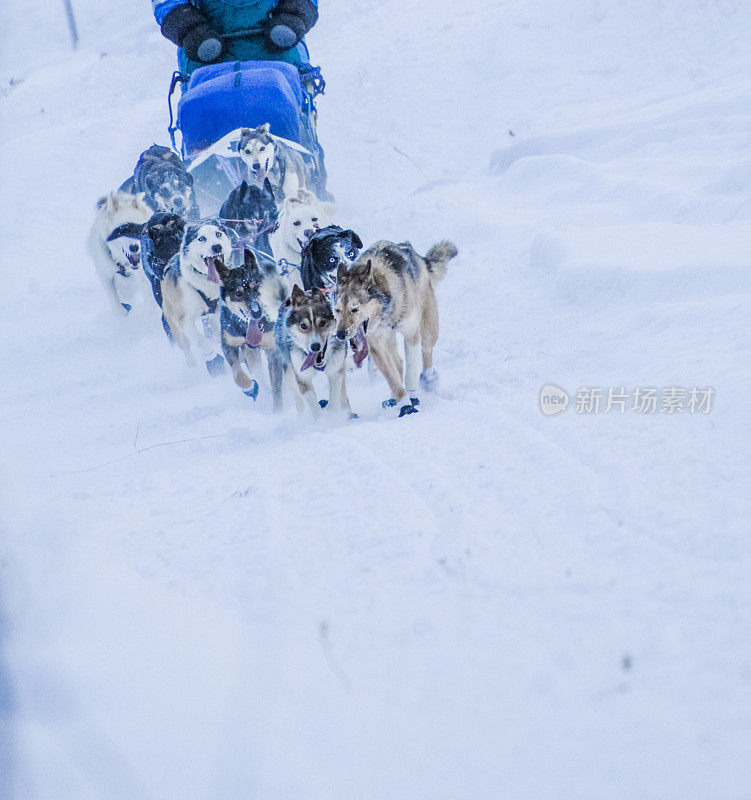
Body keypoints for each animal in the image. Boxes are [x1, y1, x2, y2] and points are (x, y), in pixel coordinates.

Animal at [162, 220, 234, 374]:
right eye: (201, 238)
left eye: (218, 234)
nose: (216, 246)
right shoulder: (185, 320)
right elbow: (202, 341)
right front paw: (212, 358)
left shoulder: (218, 312)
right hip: (176, 327)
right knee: (186, 347)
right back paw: (193, 366)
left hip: (211, 316)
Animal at [222, 248, 286, 406]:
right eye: (238, 293)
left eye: (256, 287)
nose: (257, 312)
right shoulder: (228, 344)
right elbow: (238, 374)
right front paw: (249, 388)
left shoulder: (273, 351)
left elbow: (277, 388)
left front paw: (278, 410)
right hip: (251, 354)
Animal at [336, 239, 458, 416]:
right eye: (337, 310)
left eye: (355, 309)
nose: (340, 334)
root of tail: (417, 256)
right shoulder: (376, 345)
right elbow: (391, 376)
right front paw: (403, 401)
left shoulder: (411, 333)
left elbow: (411, 369)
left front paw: (412, 396)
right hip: (388, 340)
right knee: (398, 364)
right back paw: (393, 398)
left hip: (429, 326)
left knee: (426, 351)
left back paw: (429, 378)